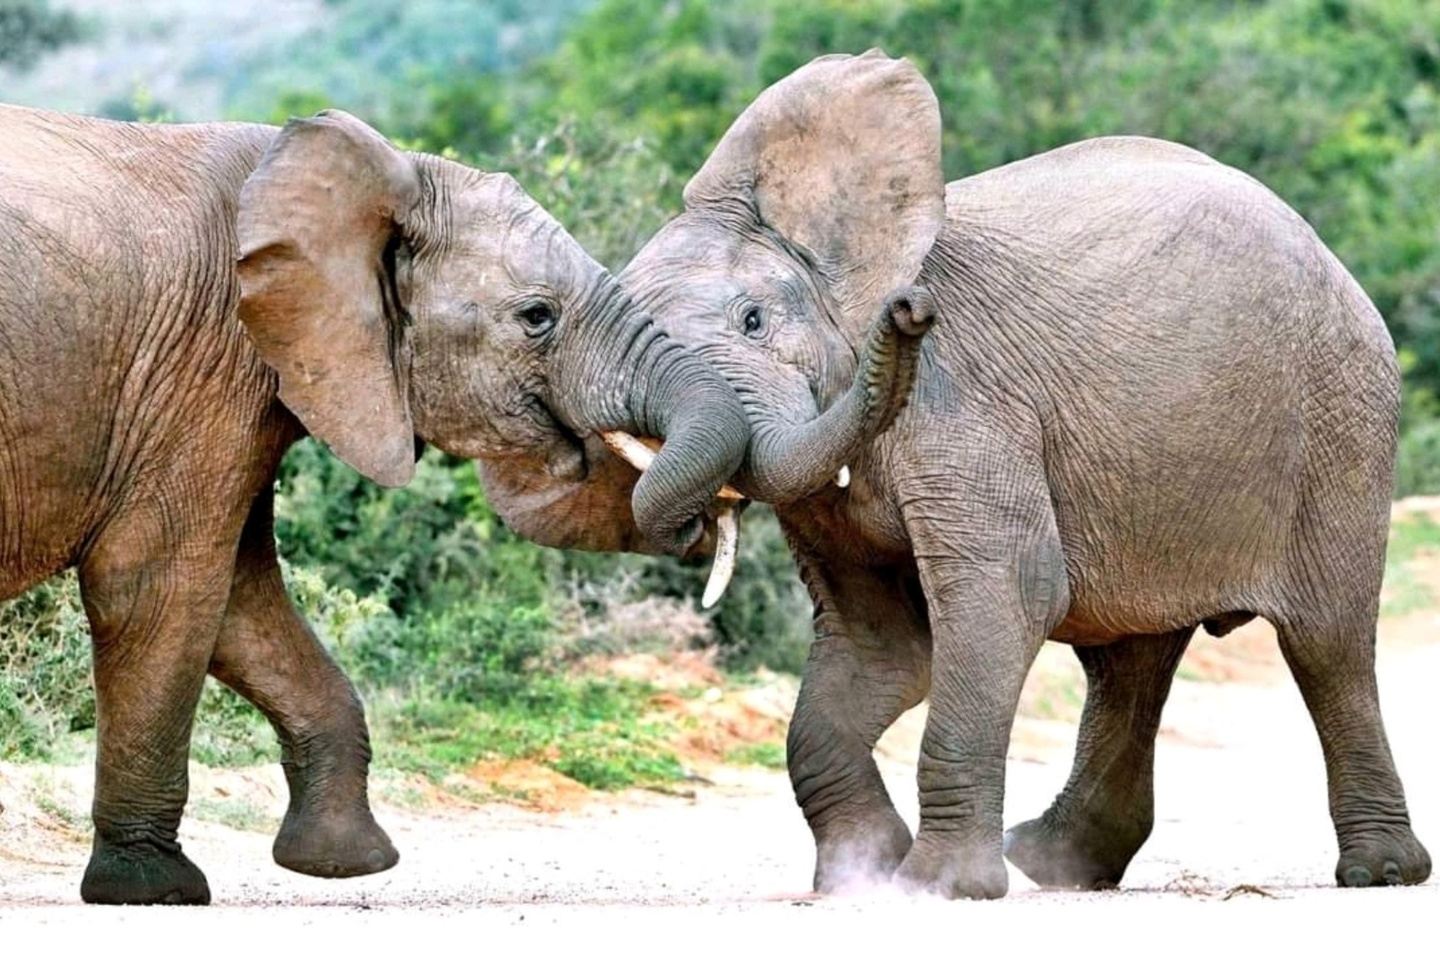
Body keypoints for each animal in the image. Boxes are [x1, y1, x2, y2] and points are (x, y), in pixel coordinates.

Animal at [0, 103, 755, 904]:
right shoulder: (199, 366)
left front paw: (343, 862)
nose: (703, 528)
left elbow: (242, 607)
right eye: (537, 317)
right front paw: (155, 889)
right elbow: (158, 588)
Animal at [619, 51, 1432, 898]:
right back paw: (1055, 864)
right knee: (1128, 659)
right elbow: (875, 642)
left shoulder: (965, 401)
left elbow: (1008, 588)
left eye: (752, 321)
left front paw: (935, 888)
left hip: (1340, 414)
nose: (911, 311)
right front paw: (861, 873)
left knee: (1327, 643)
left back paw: (1379, 871)